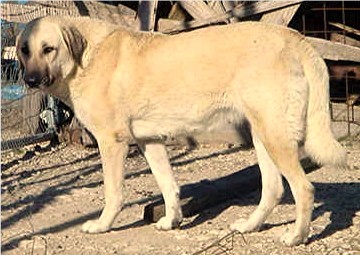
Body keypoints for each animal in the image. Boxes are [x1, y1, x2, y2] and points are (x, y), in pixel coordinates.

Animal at [16, 16, 346, 247]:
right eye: (24, 50)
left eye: (48, 49)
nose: (30, 81)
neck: (85, 58)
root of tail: (295, 37)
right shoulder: (150, 141)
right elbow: (168, 185)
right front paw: (172, 220)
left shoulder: (112, 143)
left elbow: (113, 193)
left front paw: (102, 225)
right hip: (263, 136)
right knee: (274, 189)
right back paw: (250, 226)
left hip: (275, 138)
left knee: (303, 188)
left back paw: (297, 237)